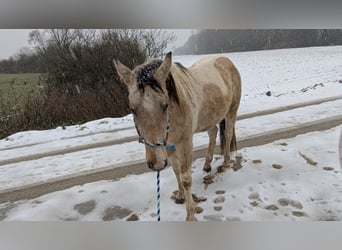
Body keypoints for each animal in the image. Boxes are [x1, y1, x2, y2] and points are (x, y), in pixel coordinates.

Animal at [114, 51, 240, 220]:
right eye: (132, 109)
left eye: (165, 105)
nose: (157, 164)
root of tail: (226, 60)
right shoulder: (168, 144)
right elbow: (175, 169)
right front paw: (180, 196)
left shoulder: (185, 143)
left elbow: (186, 179)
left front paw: (191, 215)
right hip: (209, 118)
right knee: (213, 133)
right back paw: (207, 164)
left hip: (231, 112)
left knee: (227, 133)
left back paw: (225, 163)